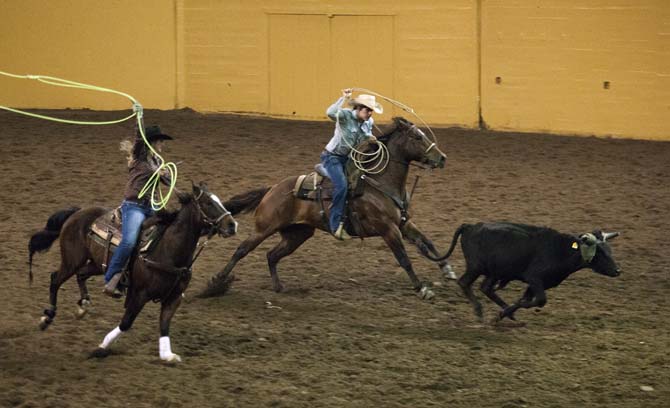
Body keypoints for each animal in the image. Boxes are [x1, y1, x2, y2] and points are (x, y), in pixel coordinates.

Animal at [29, 183, 239, 362]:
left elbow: (164, 324)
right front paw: (101, 347)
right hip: (71, 260)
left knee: (81, 275)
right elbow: (126, 322)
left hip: (98, 264)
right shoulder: (139, 294)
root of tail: (78, 212)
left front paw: (167, 355)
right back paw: (47, 317)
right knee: (55, 279)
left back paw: (83, 306)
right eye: (208, 203)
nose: (232, 225)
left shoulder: (174, 297)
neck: (167, 250)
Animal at [200, 118, 452, 300]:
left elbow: (428, 242)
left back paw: (278, 286)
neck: (381, 183)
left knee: (272, 255)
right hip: (264, 229)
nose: (442, 158)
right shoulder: (388, 229)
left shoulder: (404, 223)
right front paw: (422, 289)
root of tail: (272, 189)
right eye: (417, 137)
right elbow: (404, 258)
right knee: (242, 250)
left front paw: (448, 270)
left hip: (297, 234)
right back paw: (215, 283)